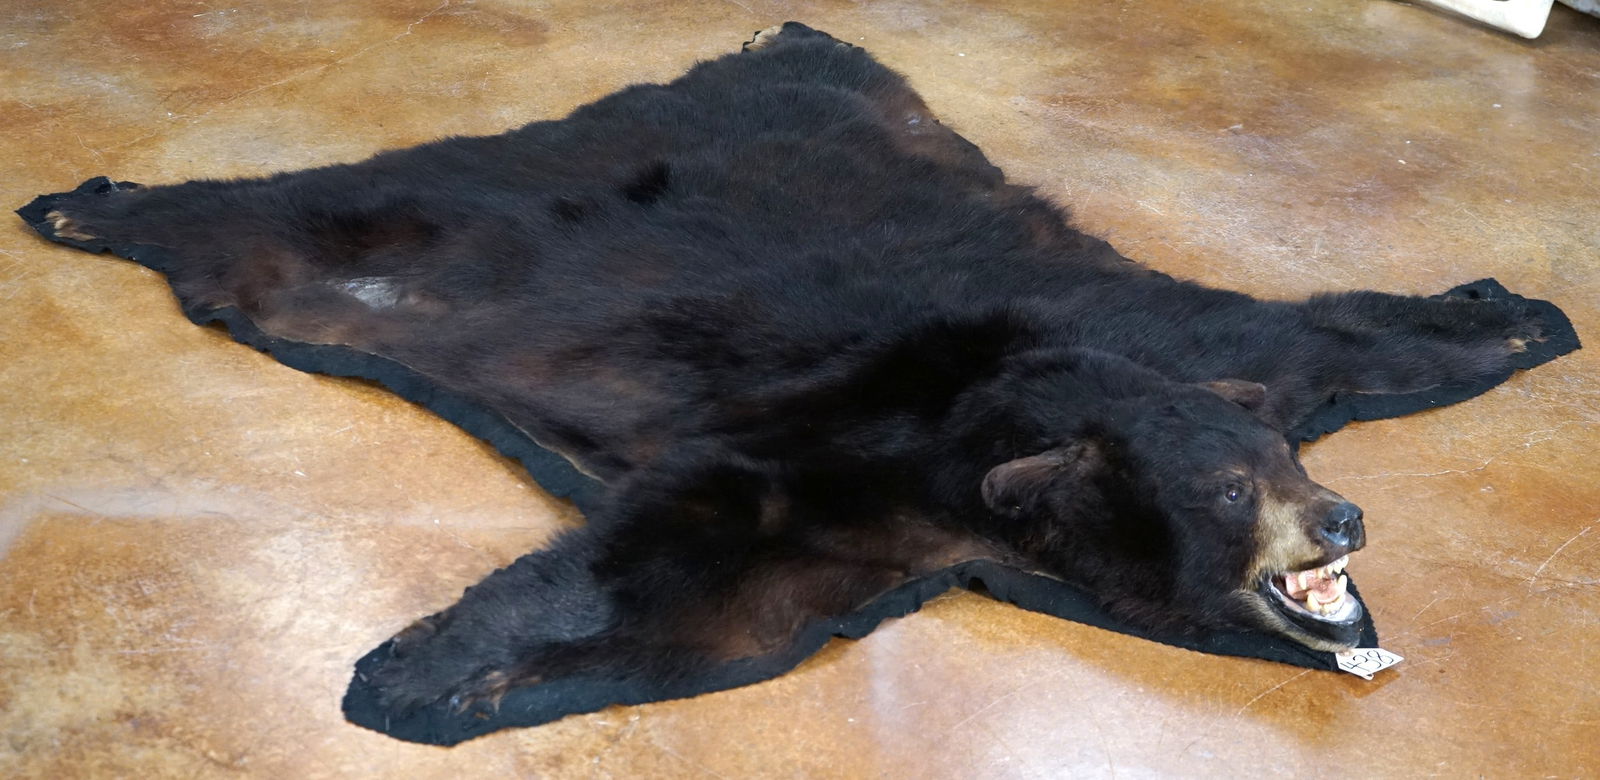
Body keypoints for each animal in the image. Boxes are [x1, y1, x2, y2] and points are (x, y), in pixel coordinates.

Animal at [18, 22, 1567, 741]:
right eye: (1232, 492)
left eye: (1290, 465)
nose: (1343, 520)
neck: (1018, 420)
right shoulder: (858, 454)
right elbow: (700, 571)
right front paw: (415, 674)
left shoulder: (1161, 347)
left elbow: (1340, 336)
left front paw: (1516, 313)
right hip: (431, 223)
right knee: (281, 224)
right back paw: (85, 207)